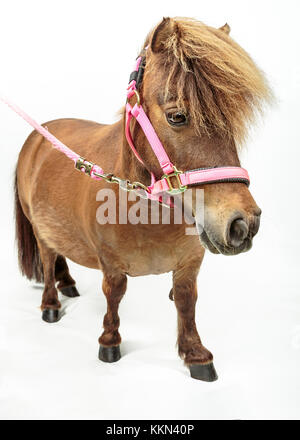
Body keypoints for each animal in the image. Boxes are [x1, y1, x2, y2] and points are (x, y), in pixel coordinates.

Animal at [15, 18, 270, 382]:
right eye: (177, 116)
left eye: (232, 121)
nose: (242, 223)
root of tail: (38, 136)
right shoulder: (111, 264)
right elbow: (115, 294)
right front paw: (109, 342)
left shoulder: (190, 264)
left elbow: (186, 301)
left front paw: (195, 355)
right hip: (38, 228)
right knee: (49, 259)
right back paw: (51, 303)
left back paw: (68, 285)